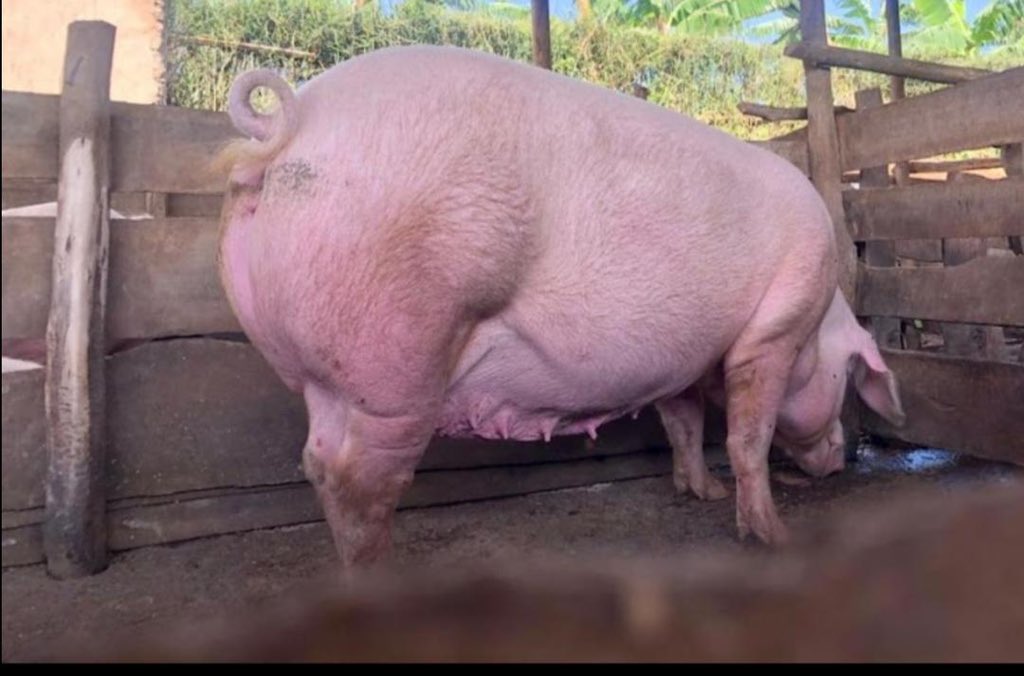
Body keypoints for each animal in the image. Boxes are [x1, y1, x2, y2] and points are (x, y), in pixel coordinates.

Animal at [216, 45, 905, 566]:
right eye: (847, 379)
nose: (840, 460)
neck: (818, 322)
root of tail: (290, 126)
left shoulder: (680, 361)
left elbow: (682, 425)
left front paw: (700, 493)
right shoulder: (773, 330)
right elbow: (748, 438)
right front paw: (777, 537)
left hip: (327, 376)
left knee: (317, 463)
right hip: (391, 356)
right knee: (360, 481)